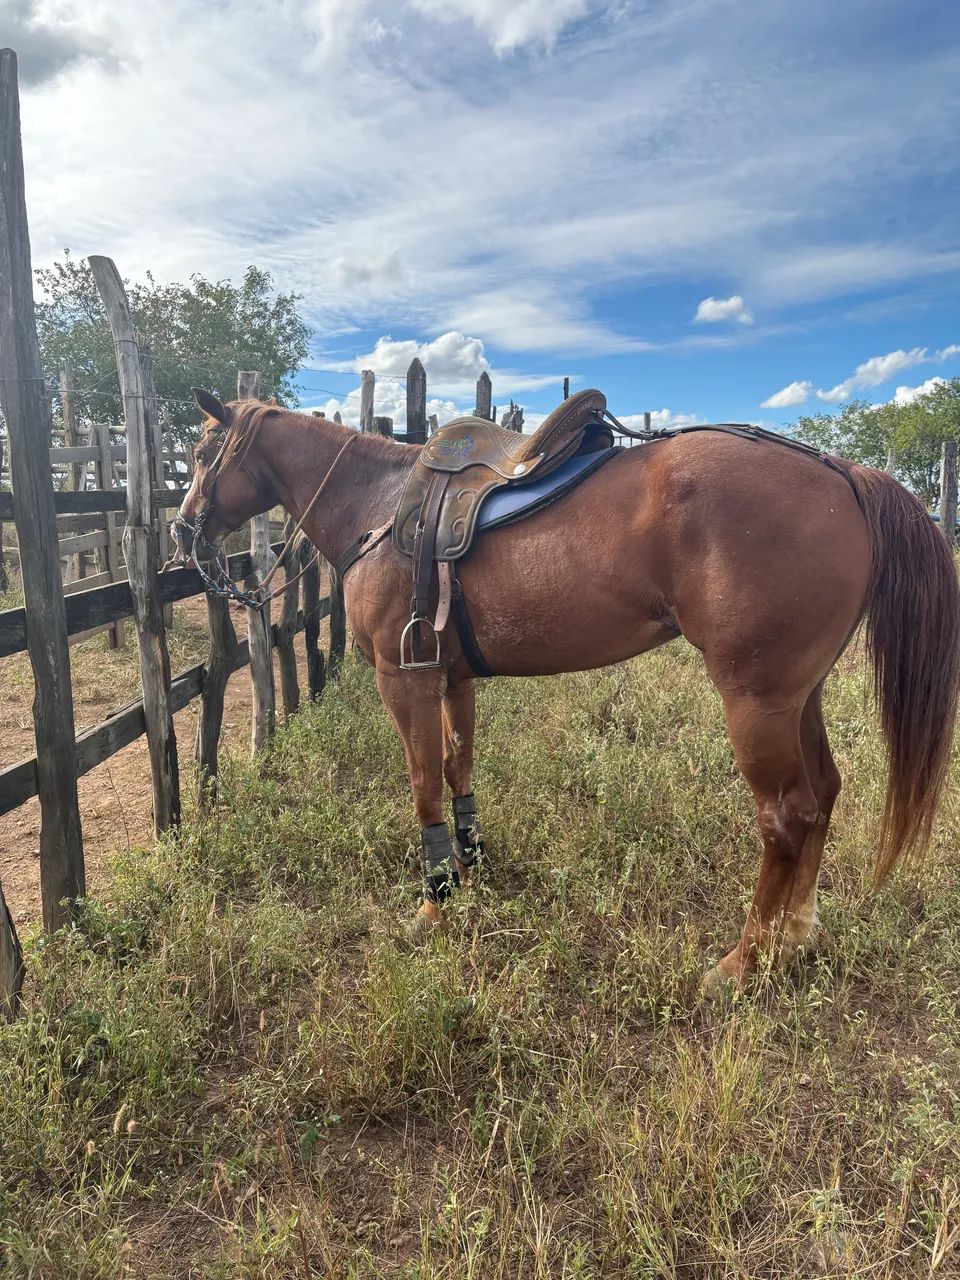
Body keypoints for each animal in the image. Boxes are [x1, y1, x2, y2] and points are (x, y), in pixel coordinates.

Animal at [175, 389, 960, 990]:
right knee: (824, 794)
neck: (379, 505)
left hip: (757, 704)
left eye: (207, 450)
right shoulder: (453, 680)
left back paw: (743, 961)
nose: (183, 530)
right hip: (800, 697)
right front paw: (470, 869)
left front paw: (433, 904)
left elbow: (423, 784)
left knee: (787, 817)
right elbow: (458, 768)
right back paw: (796, 935)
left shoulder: (406, 682)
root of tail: (843, 473)